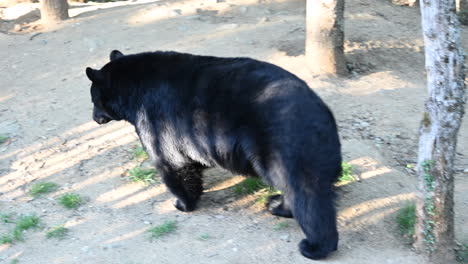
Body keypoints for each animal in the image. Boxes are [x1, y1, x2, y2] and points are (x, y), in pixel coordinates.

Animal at [86, 50, 342, 260]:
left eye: (94, 99)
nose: (95, 118)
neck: (134, 89)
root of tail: (319, 113)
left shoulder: (156, 122)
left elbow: (171, 164)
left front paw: (182, 204)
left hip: (283, 147)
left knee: (304, 193)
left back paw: (312, 243)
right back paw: (277, 205)